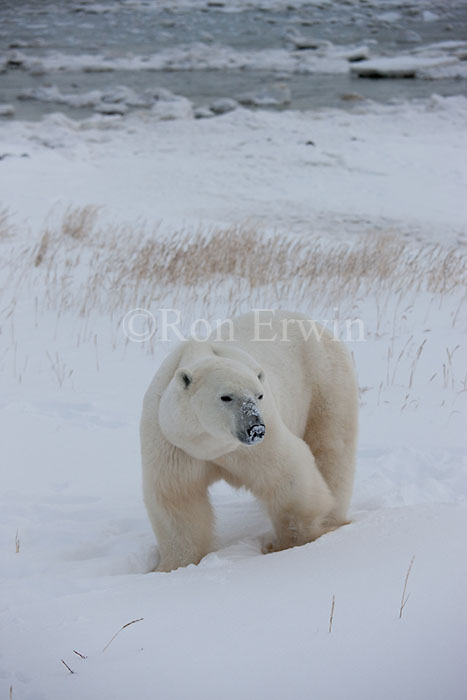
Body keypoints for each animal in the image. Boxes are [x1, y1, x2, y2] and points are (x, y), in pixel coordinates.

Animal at [140, 310, 358, 572]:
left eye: (259, 394)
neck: (209, 446)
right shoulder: (173, 444)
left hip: (325, 381)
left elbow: (288, 477)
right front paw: (170, 566)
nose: (256, 428)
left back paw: (335, 517)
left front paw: (292, 543)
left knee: (332, 447)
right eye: (226, 397)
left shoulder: (259, 443)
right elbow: (178, 500)